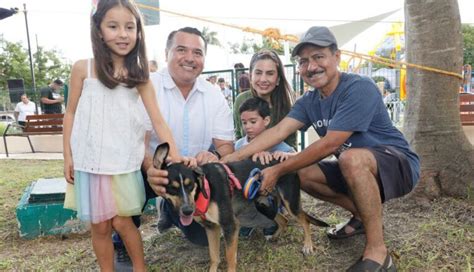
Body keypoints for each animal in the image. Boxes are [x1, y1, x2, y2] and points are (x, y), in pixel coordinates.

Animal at [154, 143, 328, 270]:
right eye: (172, 188)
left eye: (190, 185)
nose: (187, 211)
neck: (205, 189)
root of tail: (285, 159)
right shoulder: (211, 227)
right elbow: (214, 257)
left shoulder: (230, 225)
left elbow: (230, 258)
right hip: (262, 204)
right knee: (283, 220)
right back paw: (275, 236)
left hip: (290, 202)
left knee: (304, 220)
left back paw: (307, 246)